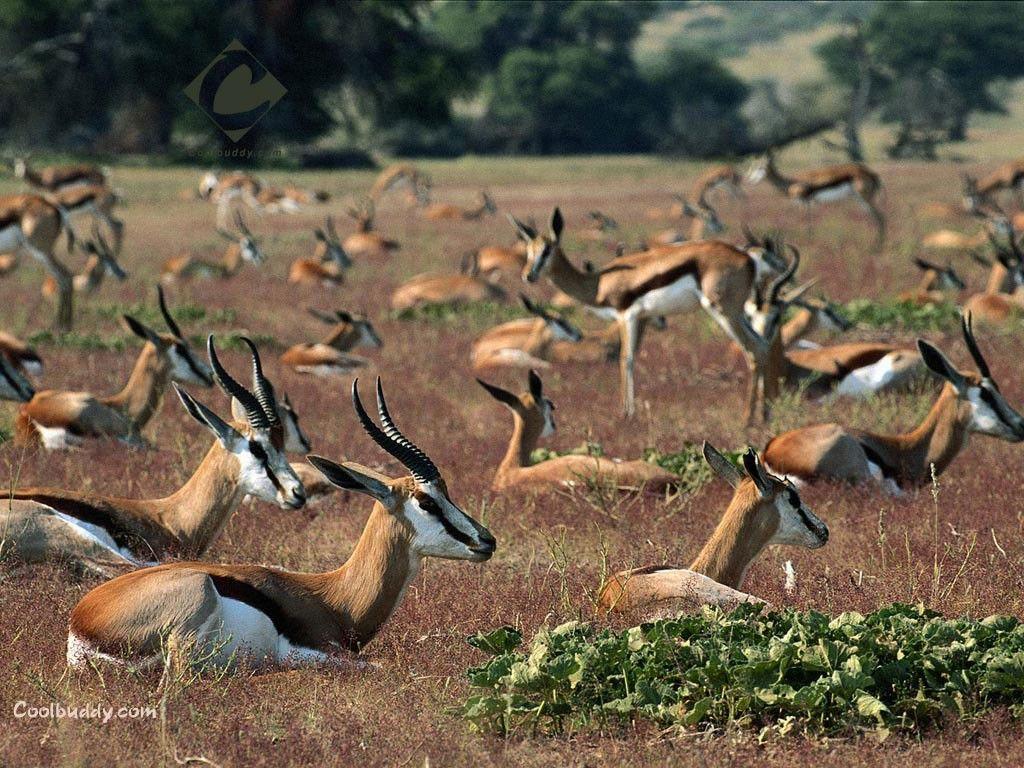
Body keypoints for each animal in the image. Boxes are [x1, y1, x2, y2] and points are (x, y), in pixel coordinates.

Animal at [0, 193, 76, 330]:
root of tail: (53, 206)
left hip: (41, 251)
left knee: (64, 276)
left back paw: (60, 327)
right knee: (64, 278)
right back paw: (63, 327)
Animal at [66, 378, 494, 670]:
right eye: (427, 501)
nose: (486, 540)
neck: (337, 599)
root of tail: (82, 621)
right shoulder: (322, 654)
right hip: (196, 603)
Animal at [513, 208, 784, 419]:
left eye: (547, 250)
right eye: (529, 250)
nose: (528, 275)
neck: (599, 282)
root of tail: (748, 259)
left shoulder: (627, 315)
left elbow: (626, 359)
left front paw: (626, 413)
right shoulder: (642, 318)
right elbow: (632, 357)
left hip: (722, 311)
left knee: (752, 349)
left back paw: (747, 418)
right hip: (737, 312)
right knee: (762, 345)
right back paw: (764, 415)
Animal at [747, 148, 885, 244]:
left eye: (760, 167)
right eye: (752, 166)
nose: (749, 180)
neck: (792, 183)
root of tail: (872, 174)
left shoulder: (803, 202)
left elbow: (806, 224)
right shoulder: (810, 204)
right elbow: (810, 224)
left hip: (865, 198)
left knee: (880, 217)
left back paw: (876, 248)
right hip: (860, 200)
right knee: (875, 217)